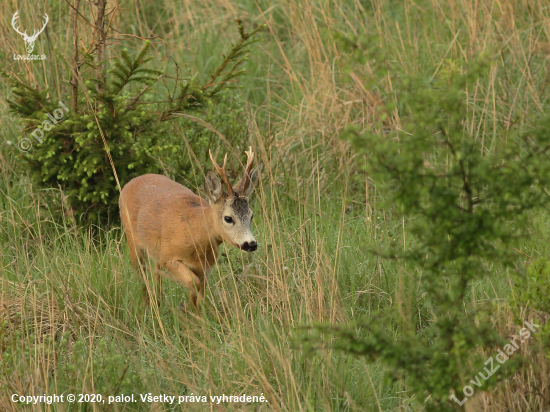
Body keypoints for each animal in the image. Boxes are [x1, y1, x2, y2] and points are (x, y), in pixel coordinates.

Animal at [119, 148, 262, 308]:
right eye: (228, 218)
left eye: (251, 215)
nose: (251, 244)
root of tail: (129, 183)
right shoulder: (168, 257)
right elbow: (194, 283)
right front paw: (187, 310)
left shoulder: (206, 267)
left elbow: (199, 292)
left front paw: (194, 312)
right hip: (132, 240)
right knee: (142, 276)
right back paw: (146, 306)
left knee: (155, 272)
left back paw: (159, 301)